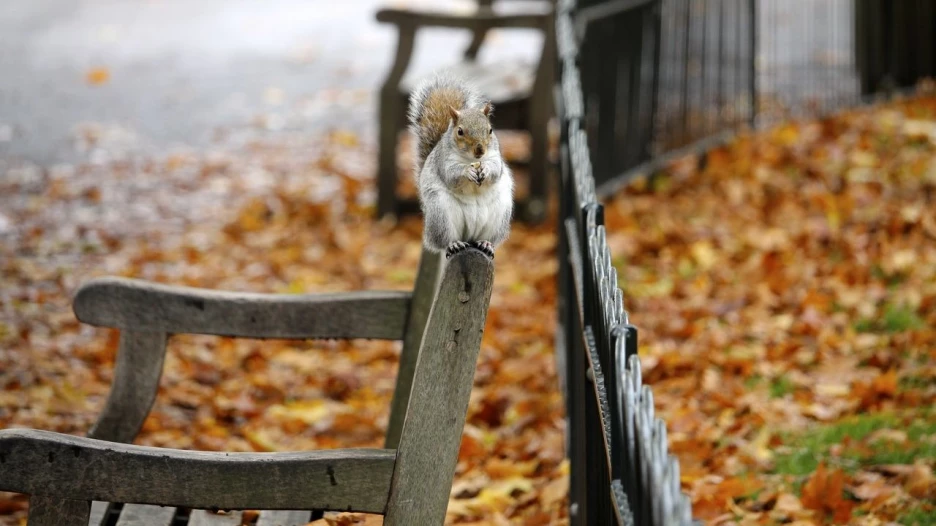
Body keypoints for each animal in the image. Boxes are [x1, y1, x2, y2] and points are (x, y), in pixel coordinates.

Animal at [408, 73, 516, 260]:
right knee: (445, 240)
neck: (470, 159)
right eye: (460, 131)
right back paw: (454, 244)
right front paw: (467, 172)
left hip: (500, 215)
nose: (480, 150)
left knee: (489, 238)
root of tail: (470, 236)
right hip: (440, 214)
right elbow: (451, 175)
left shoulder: (495, 157)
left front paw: (486, 170)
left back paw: (486, 244)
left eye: (490, 130)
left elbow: (496, 170)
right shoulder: (444, 161)